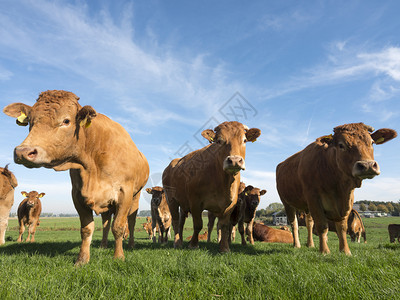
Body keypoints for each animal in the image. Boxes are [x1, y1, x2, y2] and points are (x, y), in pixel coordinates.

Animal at [2, 89, 150, 264]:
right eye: (30, 120)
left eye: (66, 121)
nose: (23, 152)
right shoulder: (77, 195)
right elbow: (87, 229)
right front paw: (82, 259)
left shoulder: (124, 193)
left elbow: (119, 226)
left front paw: (119, 257)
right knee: (106, 223)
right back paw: (103, 245)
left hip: (135, 196)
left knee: (131, 222)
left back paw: (131, 245)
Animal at [163, 120, 262, 252]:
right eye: (219, 141)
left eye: (244, 140)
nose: (235, 160)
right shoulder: (195, 202)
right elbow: (198, 224)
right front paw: (193, 244)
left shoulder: (230, 204)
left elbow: (224, 226)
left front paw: (224, 248)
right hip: (171, 199)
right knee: (175, 221)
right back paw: (177, 242)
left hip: (183, 204)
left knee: (181, 222)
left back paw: (181, 240)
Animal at [276, 123, 396, 254]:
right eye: (341, 145)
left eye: (372, 142)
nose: (367, 165)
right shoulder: (313, 198)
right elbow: (322, 226)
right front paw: (324, 251)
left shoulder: (347, 201)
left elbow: (342, 228)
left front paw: (345, 251)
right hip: (287, 203)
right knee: (294, 224)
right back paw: (297, 245)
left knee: (309, 223)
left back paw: (310, 244)